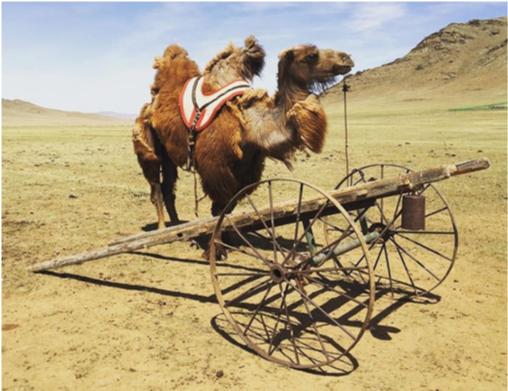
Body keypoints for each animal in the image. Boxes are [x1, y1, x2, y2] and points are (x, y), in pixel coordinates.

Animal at [133, 36, 266, 230]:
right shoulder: (216, 168)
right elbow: (221, 206)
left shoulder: (243, 172)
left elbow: (228, 204)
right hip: (150, 153)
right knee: (157, 187)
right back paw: (163, 227)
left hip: (169, 157)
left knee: (167, 189)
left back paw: (176, 225)